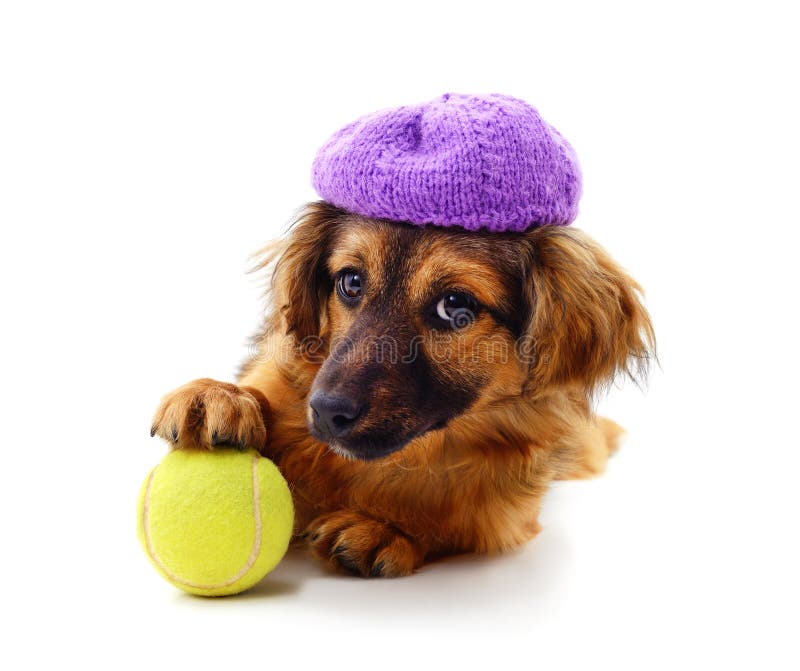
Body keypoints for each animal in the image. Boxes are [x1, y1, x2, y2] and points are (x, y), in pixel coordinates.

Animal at [150, 200, 654, 577]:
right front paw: (219, 396)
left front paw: (387, 528)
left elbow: (456, 519)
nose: (325, 412)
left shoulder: (504, 511)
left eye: (455, 305)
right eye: (350, 282)